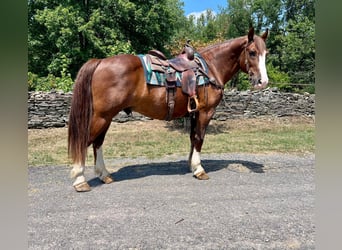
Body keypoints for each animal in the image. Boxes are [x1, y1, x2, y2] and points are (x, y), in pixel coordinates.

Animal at [68, 26, 268, 191]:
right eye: (252, 52)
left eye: (266, 53)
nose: (263, 81)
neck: (210, 68)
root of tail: (101, 62)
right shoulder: (205, 112)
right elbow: (199, 138)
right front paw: (199, 169)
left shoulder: (194, 112)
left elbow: (193, 138)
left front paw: (191, 165)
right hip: (101, 116)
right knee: (86, 141)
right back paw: (80, 180)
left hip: (106, 117)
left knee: (98, 143)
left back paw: (104, 175)